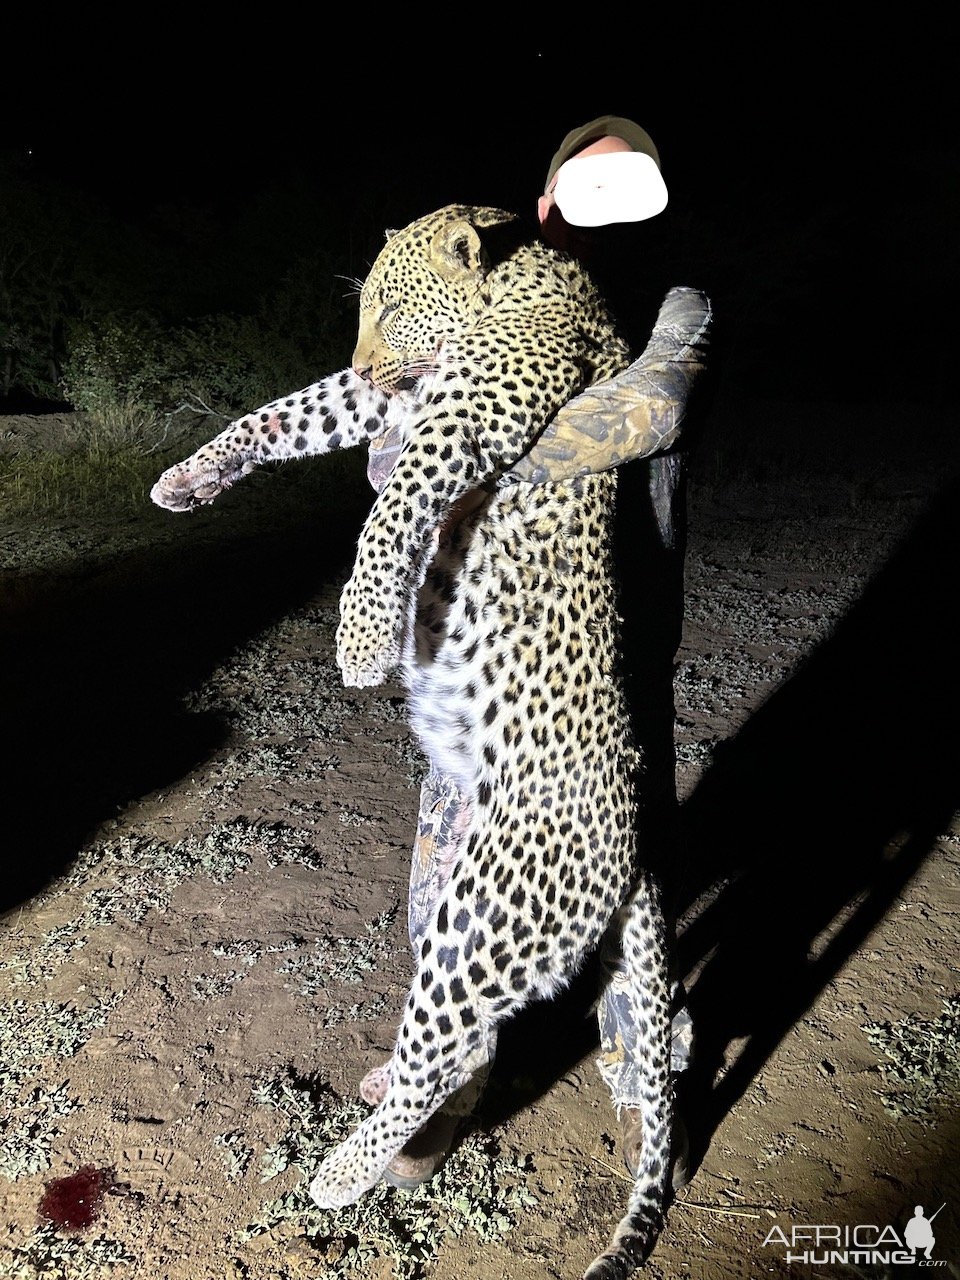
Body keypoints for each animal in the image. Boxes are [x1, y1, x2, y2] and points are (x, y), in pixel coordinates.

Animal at [150, 204, 675, 1274]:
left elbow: (395, 501)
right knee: (462, 1041)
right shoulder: (386, 394)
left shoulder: (463, 407)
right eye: (364, 311)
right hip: (439, 881)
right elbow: (285, 413)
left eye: (391, 305)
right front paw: (190, 478)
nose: (365, 350)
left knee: (444, 1046)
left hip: (487, 912)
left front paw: (359, 635)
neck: (516, 275)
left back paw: (342, 1172)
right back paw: (379, 1104)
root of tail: (633, 844)